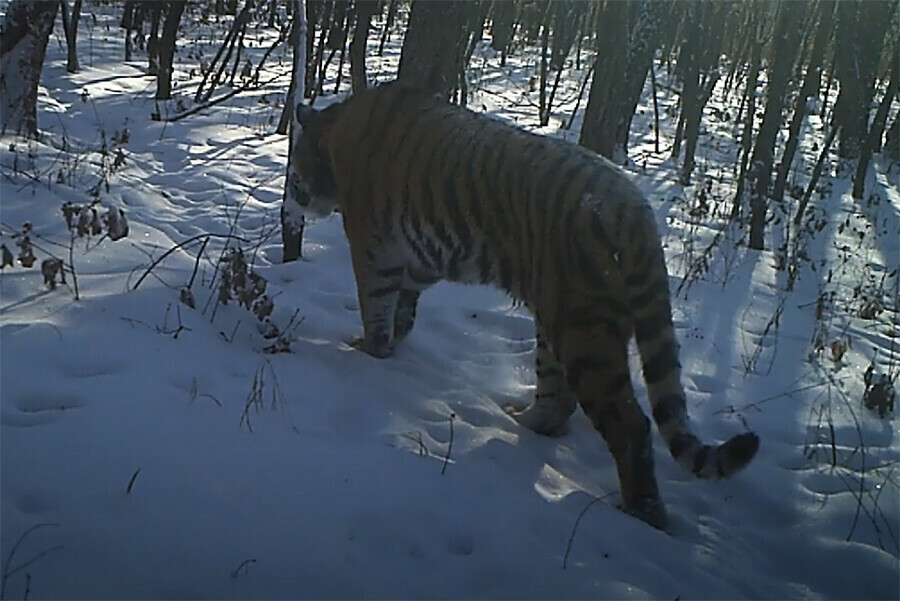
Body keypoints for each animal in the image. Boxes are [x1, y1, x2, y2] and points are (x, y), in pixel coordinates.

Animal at [286, 82, 752, 528]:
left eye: (294, 169)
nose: (291, 200)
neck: (336, 132)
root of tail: (634, 210)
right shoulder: (418, 261)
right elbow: (402, 304)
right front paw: (393, 342)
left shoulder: (373, 247)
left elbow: (376, 305)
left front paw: (367, 351)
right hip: (559, 322)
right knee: (558, 398)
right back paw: (521, 420)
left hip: (582, 329)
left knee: (629, 424)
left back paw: (643, 513)